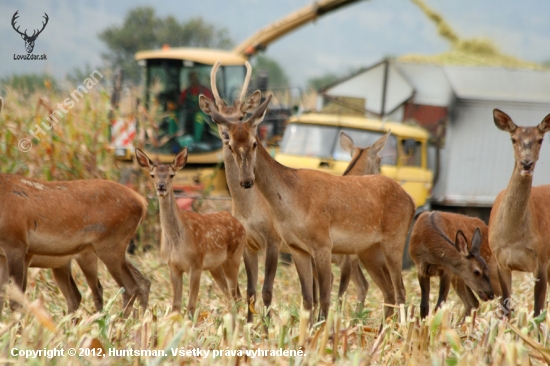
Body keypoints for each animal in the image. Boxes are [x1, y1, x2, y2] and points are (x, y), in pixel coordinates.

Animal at [0, 173, 151, 314]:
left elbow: (15, 302)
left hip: (108, 247)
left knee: (129, 288)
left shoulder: (17, 245)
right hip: (110, 250)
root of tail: (142, 203)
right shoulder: (4, 256)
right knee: (142, 282)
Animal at [134, 147, 246, 316]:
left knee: (236, 295)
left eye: (172, 175)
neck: (176, 240)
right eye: (152, 175)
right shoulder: (173, 265)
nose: (161, 186)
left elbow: (191, 305)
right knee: (229, 295)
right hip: (215, 266)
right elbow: (176, 305)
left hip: (234, 257)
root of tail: (239, 223)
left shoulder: (196, 263)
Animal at [201, 70, 416, 322]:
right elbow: (305, 298)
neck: (291, 202)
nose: (246, 181)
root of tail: (411, 201)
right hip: (369, 250)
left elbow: (323, 298)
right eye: (232, 146)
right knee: (388, 291)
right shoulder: (297, 248)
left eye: (254, 143)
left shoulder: (320, 244)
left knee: (399, 291)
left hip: (394, 241)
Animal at [492, 109, 550, 318]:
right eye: (514, 139)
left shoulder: (541, 259)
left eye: (540, 139)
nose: (526, 164)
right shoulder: (500, 260)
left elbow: (537, 311)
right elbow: (506, 309)